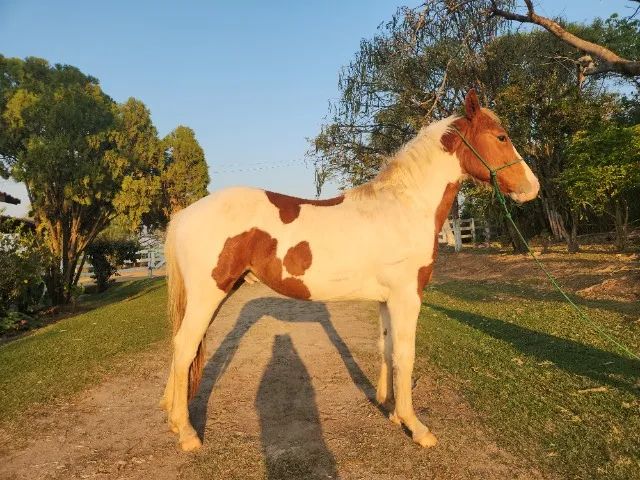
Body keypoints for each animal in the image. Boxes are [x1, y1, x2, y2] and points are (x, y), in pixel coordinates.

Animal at [159, 90, 540, 451]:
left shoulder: (387, 300)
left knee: (183, 348)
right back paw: (188, 434)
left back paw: (176, 422)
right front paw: (416, 427)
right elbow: (405, 354)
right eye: (501, 136)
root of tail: (184, 214)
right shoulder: (407, 297)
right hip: (209, 294)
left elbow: (387, 347)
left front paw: (390, 411)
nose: (532, 188)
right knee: (185, 347)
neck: (405, 206)